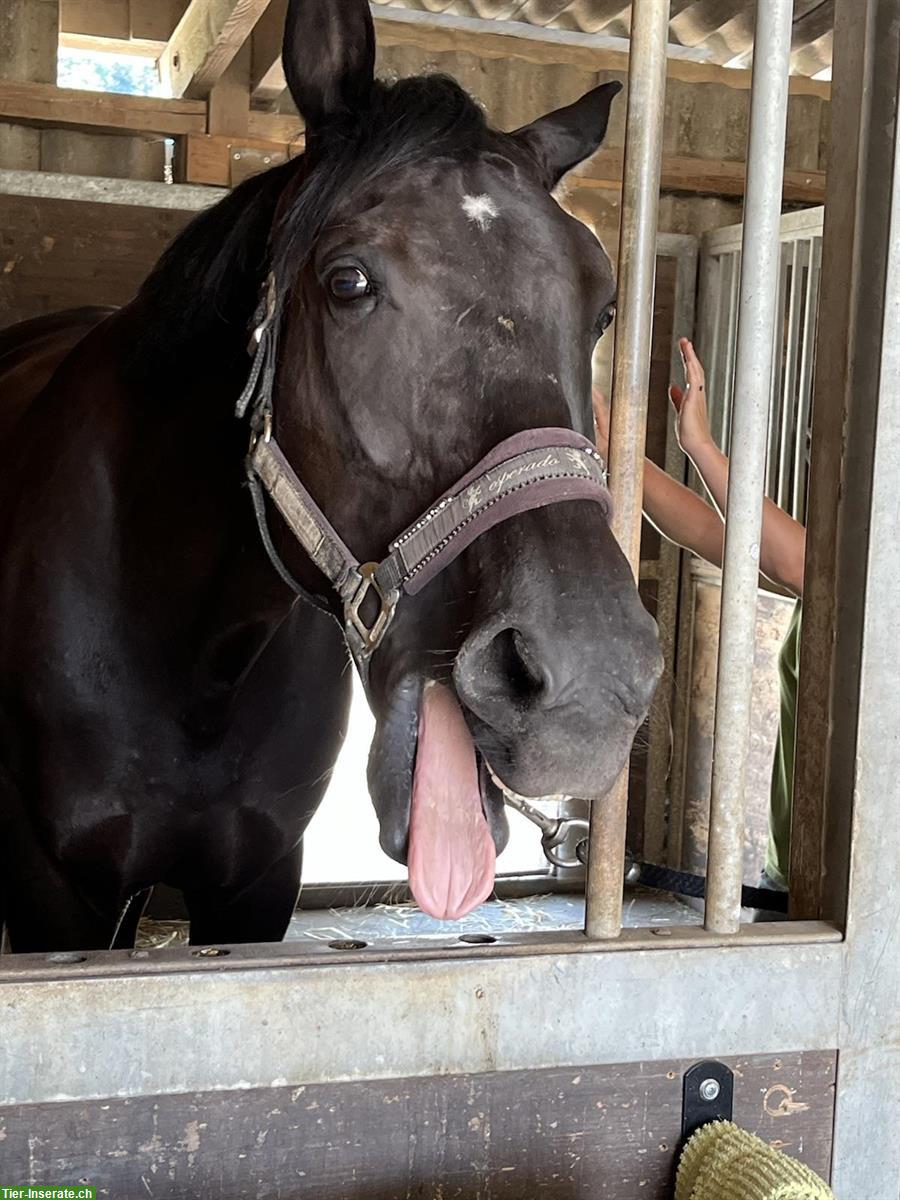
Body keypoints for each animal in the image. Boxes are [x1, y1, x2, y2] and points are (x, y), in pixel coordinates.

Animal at [0, 2, 662, 955]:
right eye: (348, 281)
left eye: (605, 307)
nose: (589, 679)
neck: (189, 648)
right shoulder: (56, 897)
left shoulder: (256, 882)